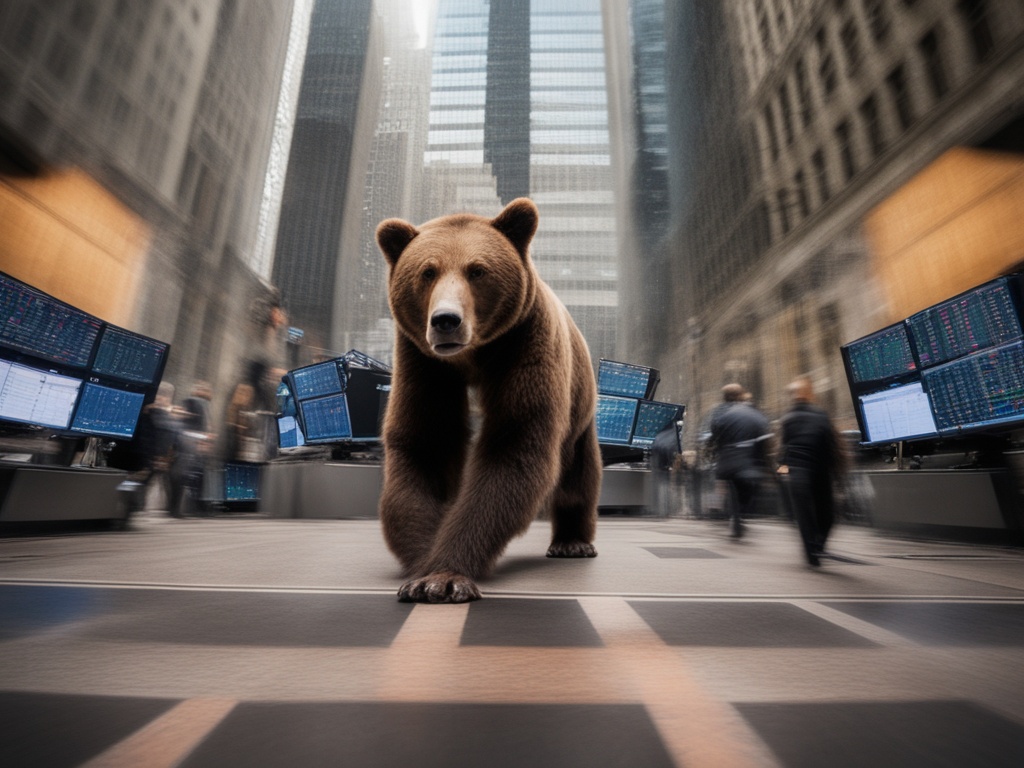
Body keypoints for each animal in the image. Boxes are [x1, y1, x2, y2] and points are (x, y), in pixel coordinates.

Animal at [375, 197, 601, 603]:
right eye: (427, 271)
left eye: (477, 270)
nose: (446, 320)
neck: (472, 357)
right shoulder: (424, 363)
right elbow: (425, 444)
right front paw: (421, 571)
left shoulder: (525, 343)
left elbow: (514, 445)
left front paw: (445, 576)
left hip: (580, 402)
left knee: (579, 470)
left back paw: (572, 542)